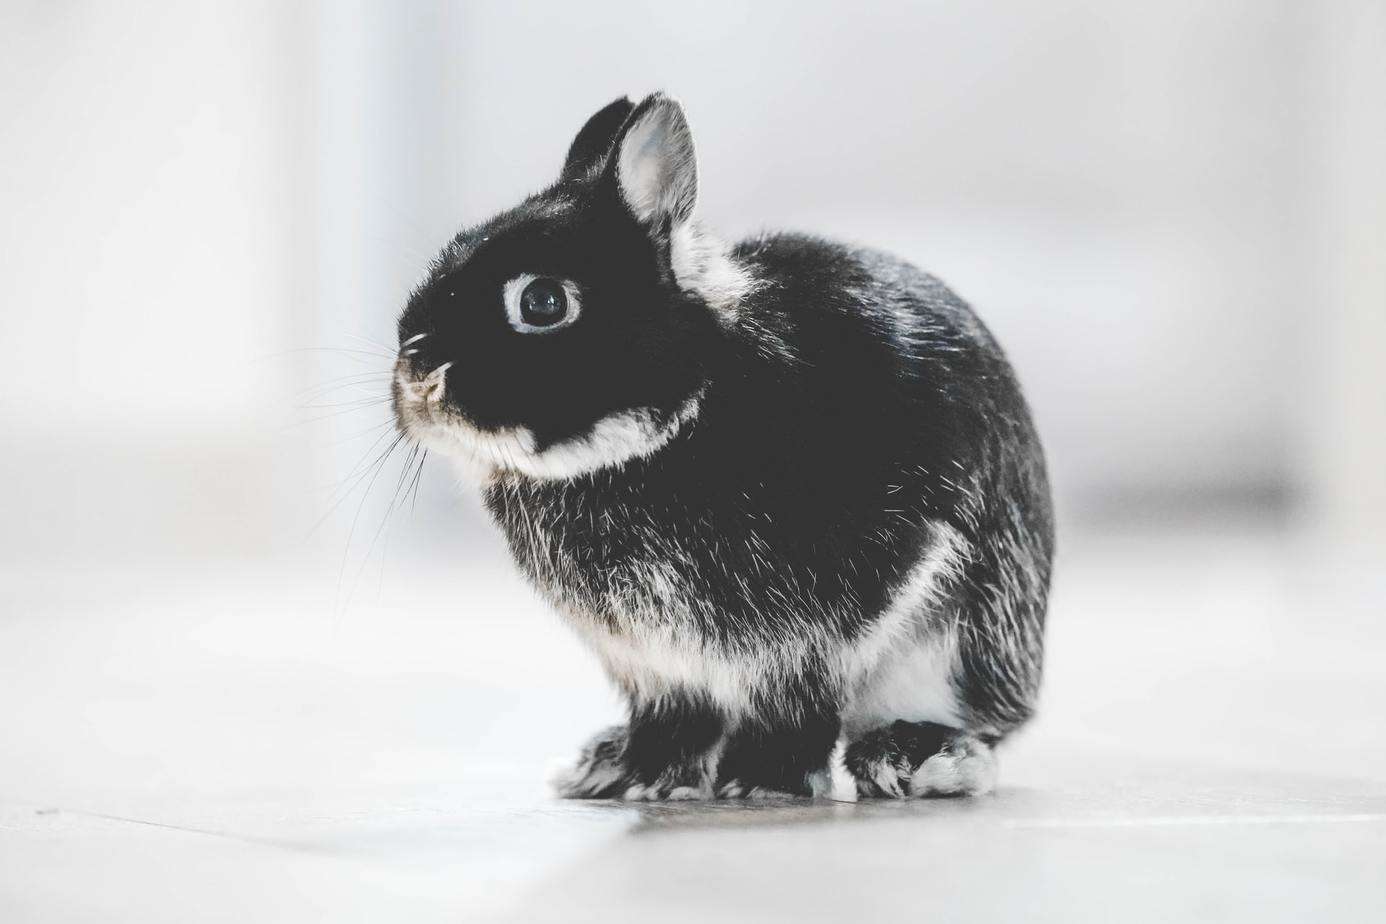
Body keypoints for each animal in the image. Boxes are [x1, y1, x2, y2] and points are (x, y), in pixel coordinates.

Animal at [392, 92, 1053, 800]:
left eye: (542, 301)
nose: (418, 374)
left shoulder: (824, 625)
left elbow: (795, 701)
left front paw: (764, 782)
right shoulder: (655, 666)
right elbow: (675, 717)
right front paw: (644, 778)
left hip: (964, 642)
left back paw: (912, 758)